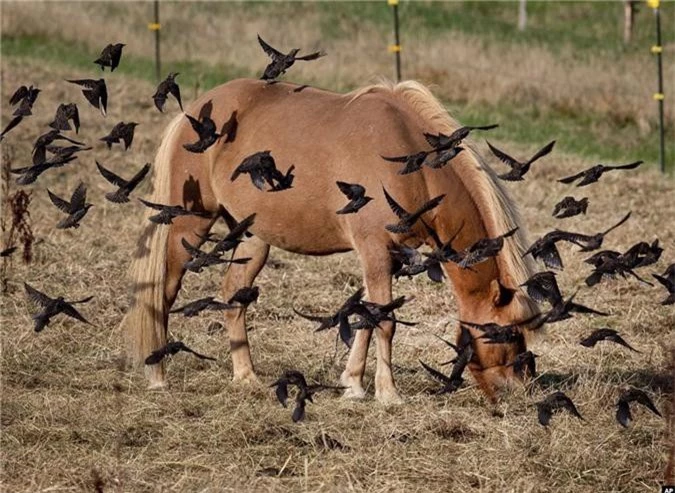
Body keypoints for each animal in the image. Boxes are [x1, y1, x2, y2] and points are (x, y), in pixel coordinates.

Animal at [121, 78, 540, 404]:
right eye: (509, 333)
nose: (518, 391)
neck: (413, 162)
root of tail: (190, 113)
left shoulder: (387, 257)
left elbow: (367, 315)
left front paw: (352, 384)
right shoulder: (375, 251)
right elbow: (384, 320)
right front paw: (388, 393)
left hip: (253, 238)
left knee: (233, 296)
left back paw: (246, 376)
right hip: (188, 226)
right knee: (164, 292)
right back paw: (158, 375)